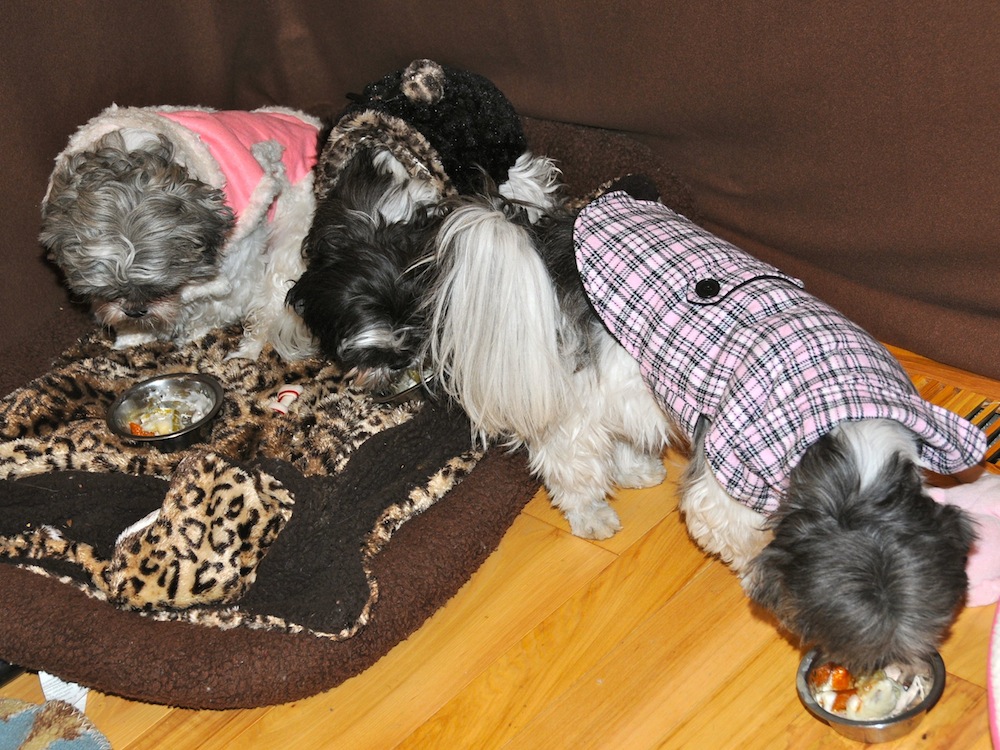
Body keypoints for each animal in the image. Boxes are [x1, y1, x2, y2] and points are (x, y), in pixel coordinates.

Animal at [38, 105, 320, 362]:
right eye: (108, 290)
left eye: (162, 288)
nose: (135, 311)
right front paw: (133, 335)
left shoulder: (241, 264)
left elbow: (218, 305)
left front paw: (190, 329)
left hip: (290, 241)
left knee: (269, 309)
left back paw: (246, 352)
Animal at [422, 179, 984, 672]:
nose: (894, 672)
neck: (848, 424)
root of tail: (556, 231)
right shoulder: (727, 477)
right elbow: (738, 532)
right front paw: (753, 570)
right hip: (585, 390)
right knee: (570, 455)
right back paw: (591, 513)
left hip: (635, 372)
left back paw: (635, 470)